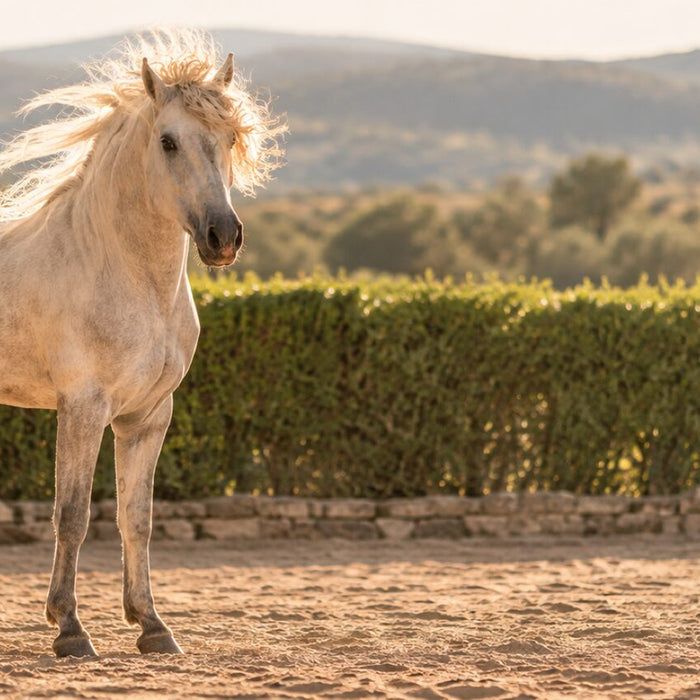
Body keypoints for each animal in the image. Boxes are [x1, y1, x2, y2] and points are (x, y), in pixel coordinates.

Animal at [0, 30, 284, 657]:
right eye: (168, 141)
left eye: (231, 137)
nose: (223, 237)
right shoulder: (82, 408)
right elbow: (73, 515)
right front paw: (70, 630)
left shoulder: (148, 416)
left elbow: (137, 517)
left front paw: (151, 624)